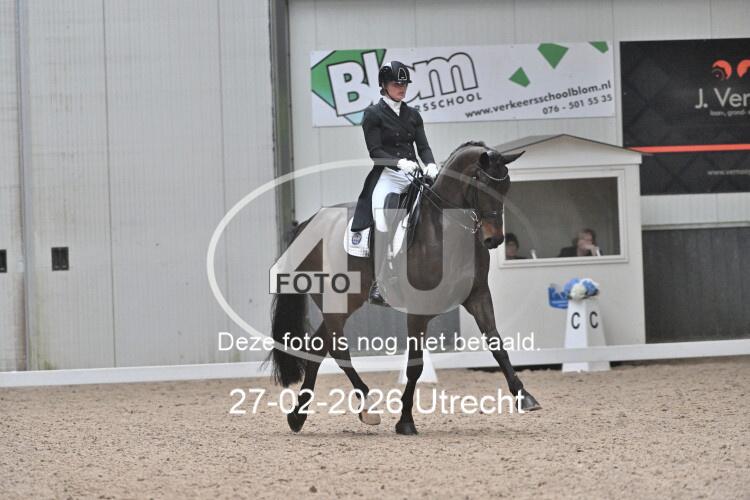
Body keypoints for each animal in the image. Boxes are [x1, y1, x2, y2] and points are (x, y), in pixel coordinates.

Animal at [269, 140, 541, 435]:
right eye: (480, 184)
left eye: (506, 186)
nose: (494, 239)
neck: (446, 231)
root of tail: (309, 223)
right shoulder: (418, 311)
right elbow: (415, 366)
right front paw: (406, 421)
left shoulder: (478, 295)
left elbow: (496, 343)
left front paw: (525, 396)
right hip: (335, 302)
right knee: (338, 350)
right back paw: (367, 408)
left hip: (347, 302)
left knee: (317, 348)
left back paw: (298, 416)